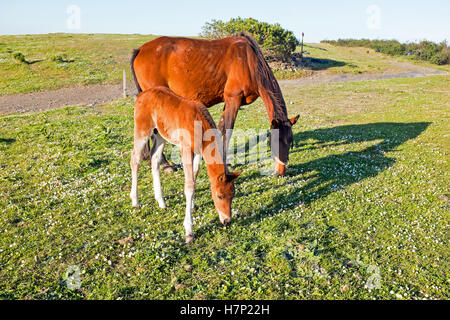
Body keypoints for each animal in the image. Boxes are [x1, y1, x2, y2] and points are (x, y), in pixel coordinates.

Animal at [130, 33, 298, 175]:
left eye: (290, 142)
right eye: (276, 140)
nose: (281, 170)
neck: (249, 61)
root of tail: (140, 50)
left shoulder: (229, 102)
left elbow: (221, 128)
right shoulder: (233, 99)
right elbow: (227, 130)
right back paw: (164, 164)